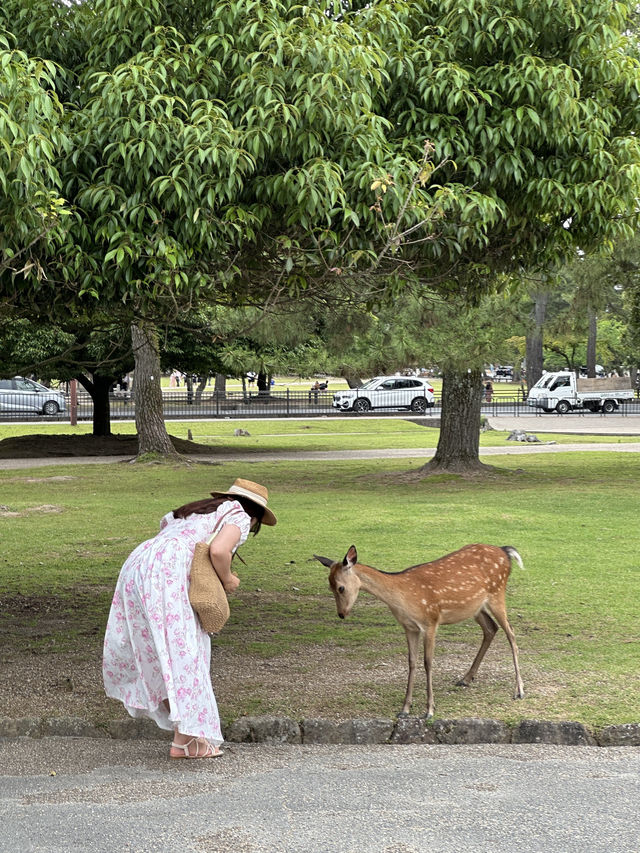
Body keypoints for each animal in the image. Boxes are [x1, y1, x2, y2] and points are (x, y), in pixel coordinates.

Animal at [316, 544, 524, 716]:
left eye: (341, 587)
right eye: (329, 587)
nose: (341, 614)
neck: (402, 599)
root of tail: (505, 552)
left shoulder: (430, 622)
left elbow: (428, 663)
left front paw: (429, 709)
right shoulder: (409, 627)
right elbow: (411, 662)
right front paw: (405, 709)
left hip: (497, 594)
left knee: (511, 633)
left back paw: (519, 690)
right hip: (475, 607)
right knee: (491, 628)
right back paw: (466, 678)